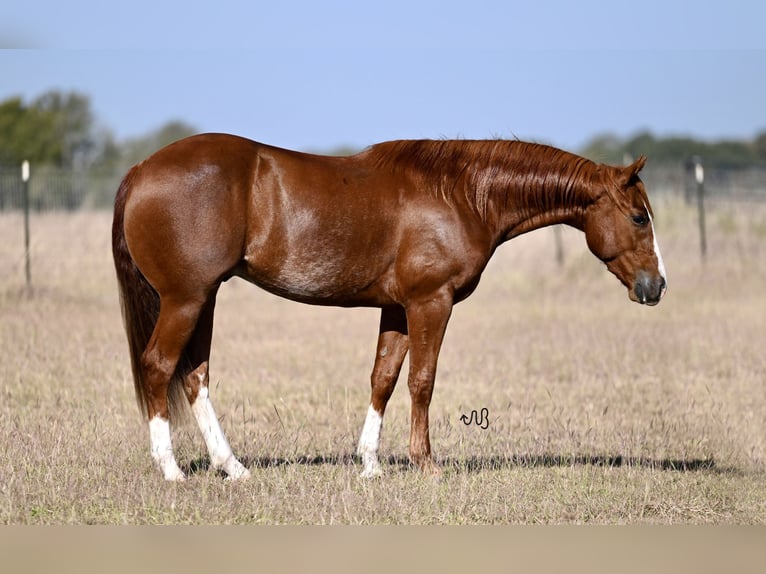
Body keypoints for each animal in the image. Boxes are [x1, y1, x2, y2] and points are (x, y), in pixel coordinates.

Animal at [111, 135, 668, 482]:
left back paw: (233, 467)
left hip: (203, 299)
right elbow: (423, 381)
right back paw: (171, 469)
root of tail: (140, 170)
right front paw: (426, 464)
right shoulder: (431, 302)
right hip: (185, 300)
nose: (656, 285)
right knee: (159, 367)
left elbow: (383, 378)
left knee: (194, 376)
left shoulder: (397, 310)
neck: (462, 194)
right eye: (639, 217)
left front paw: (371, 464)